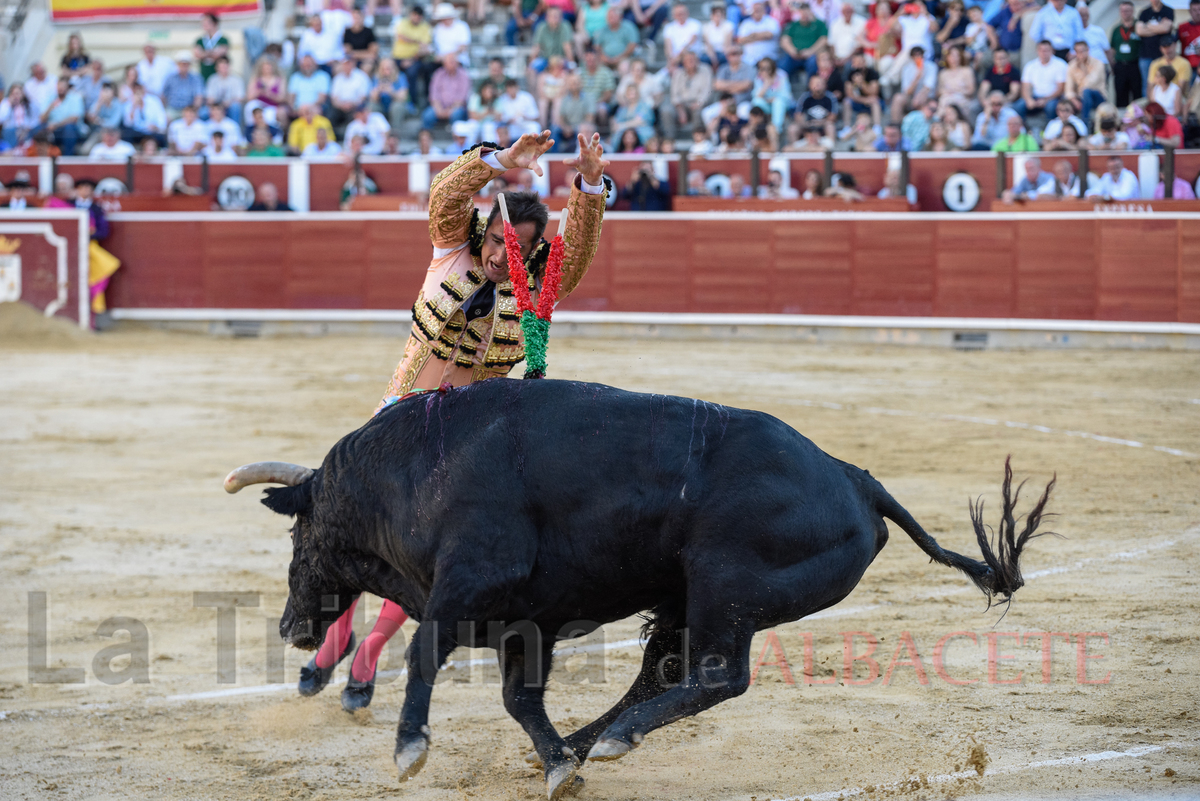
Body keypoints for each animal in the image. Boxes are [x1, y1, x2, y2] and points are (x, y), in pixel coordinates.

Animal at [231, 376, 1051, 801]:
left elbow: (426, 654)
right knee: (659, 673)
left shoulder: (469, 585)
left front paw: (409, 750)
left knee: (719, 675)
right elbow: (518, 697)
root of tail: (854, 476)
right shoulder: (526, 621)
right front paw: (557, 763)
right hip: (684, 598)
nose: (291, 629)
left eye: (298, 536)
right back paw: (590, 741)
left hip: (725, 588)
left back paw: (613, 739)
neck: (413, 472)